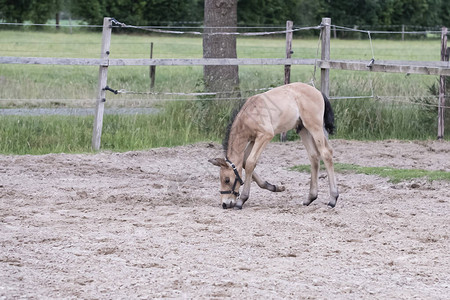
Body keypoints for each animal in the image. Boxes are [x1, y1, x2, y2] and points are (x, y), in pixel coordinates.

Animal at [209, 82, 340, 209]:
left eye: (227, 180)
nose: (225, 204)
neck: (249, 115)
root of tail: (318, 92)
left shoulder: (265, 136)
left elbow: (250, 162)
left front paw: (242, 200)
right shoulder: (253, 140)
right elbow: (245, 162)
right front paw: (274, 187)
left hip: (314, 127)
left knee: (326, 153)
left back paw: (332, 199)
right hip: (303, 129)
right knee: (314, 156)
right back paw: (310, 198)